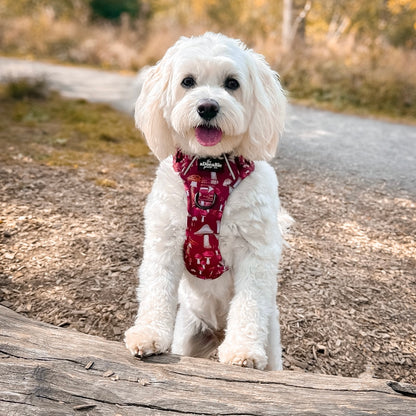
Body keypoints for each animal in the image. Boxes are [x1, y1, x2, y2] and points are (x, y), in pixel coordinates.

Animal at [126, 33, 290, 370]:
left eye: (232, 83)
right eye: (187, 81)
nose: (208, 106)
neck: (209, 173)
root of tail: (216, 330)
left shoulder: (255, 253)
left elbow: (248, 304)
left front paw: (242, 350)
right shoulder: (163, 243)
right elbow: (156, 291)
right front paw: (148, 334)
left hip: (272, 341)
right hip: (187, 333)